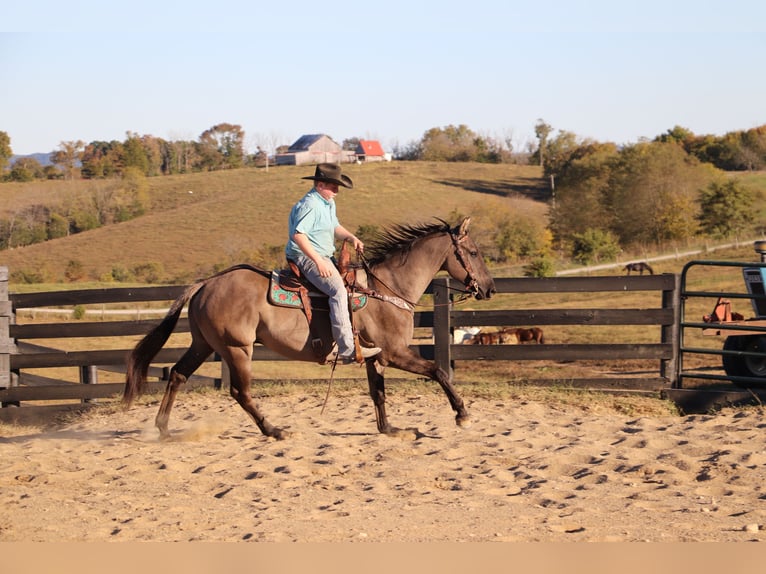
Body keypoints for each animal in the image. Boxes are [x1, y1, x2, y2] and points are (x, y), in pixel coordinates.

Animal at [124, 219, 498, 440]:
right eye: (473, 252)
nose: (490, 289)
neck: (387, 288)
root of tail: (207, 283)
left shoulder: (375, 358)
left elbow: (378, 393)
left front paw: (389, 428)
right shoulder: (394, 354)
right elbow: (439, 371)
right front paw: (462, 414)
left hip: (204, 345)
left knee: (177, 374)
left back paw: (162, 428)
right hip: (236, 349)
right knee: (239, 392)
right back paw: (273, 430)